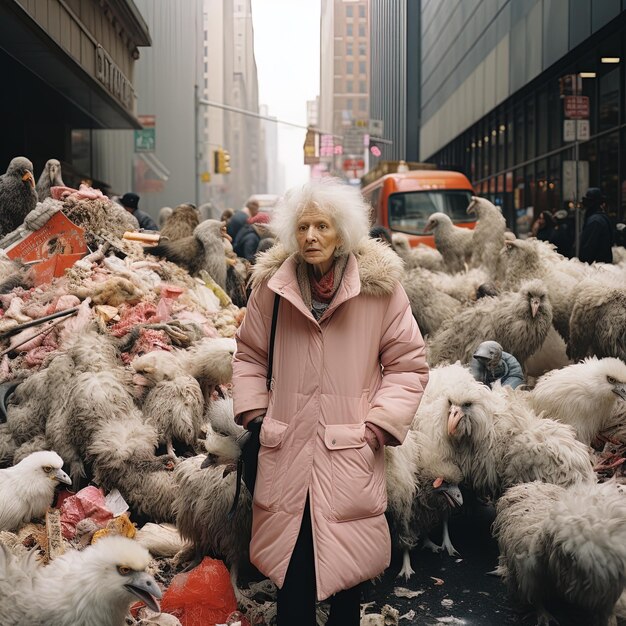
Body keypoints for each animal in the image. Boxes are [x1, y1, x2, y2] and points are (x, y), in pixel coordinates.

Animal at [492, 478, 624, 624]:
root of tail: (525, 484)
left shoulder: (608, 591)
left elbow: (607, 612)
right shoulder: (529, 573)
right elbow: (536, 599)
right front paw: (544, 617)